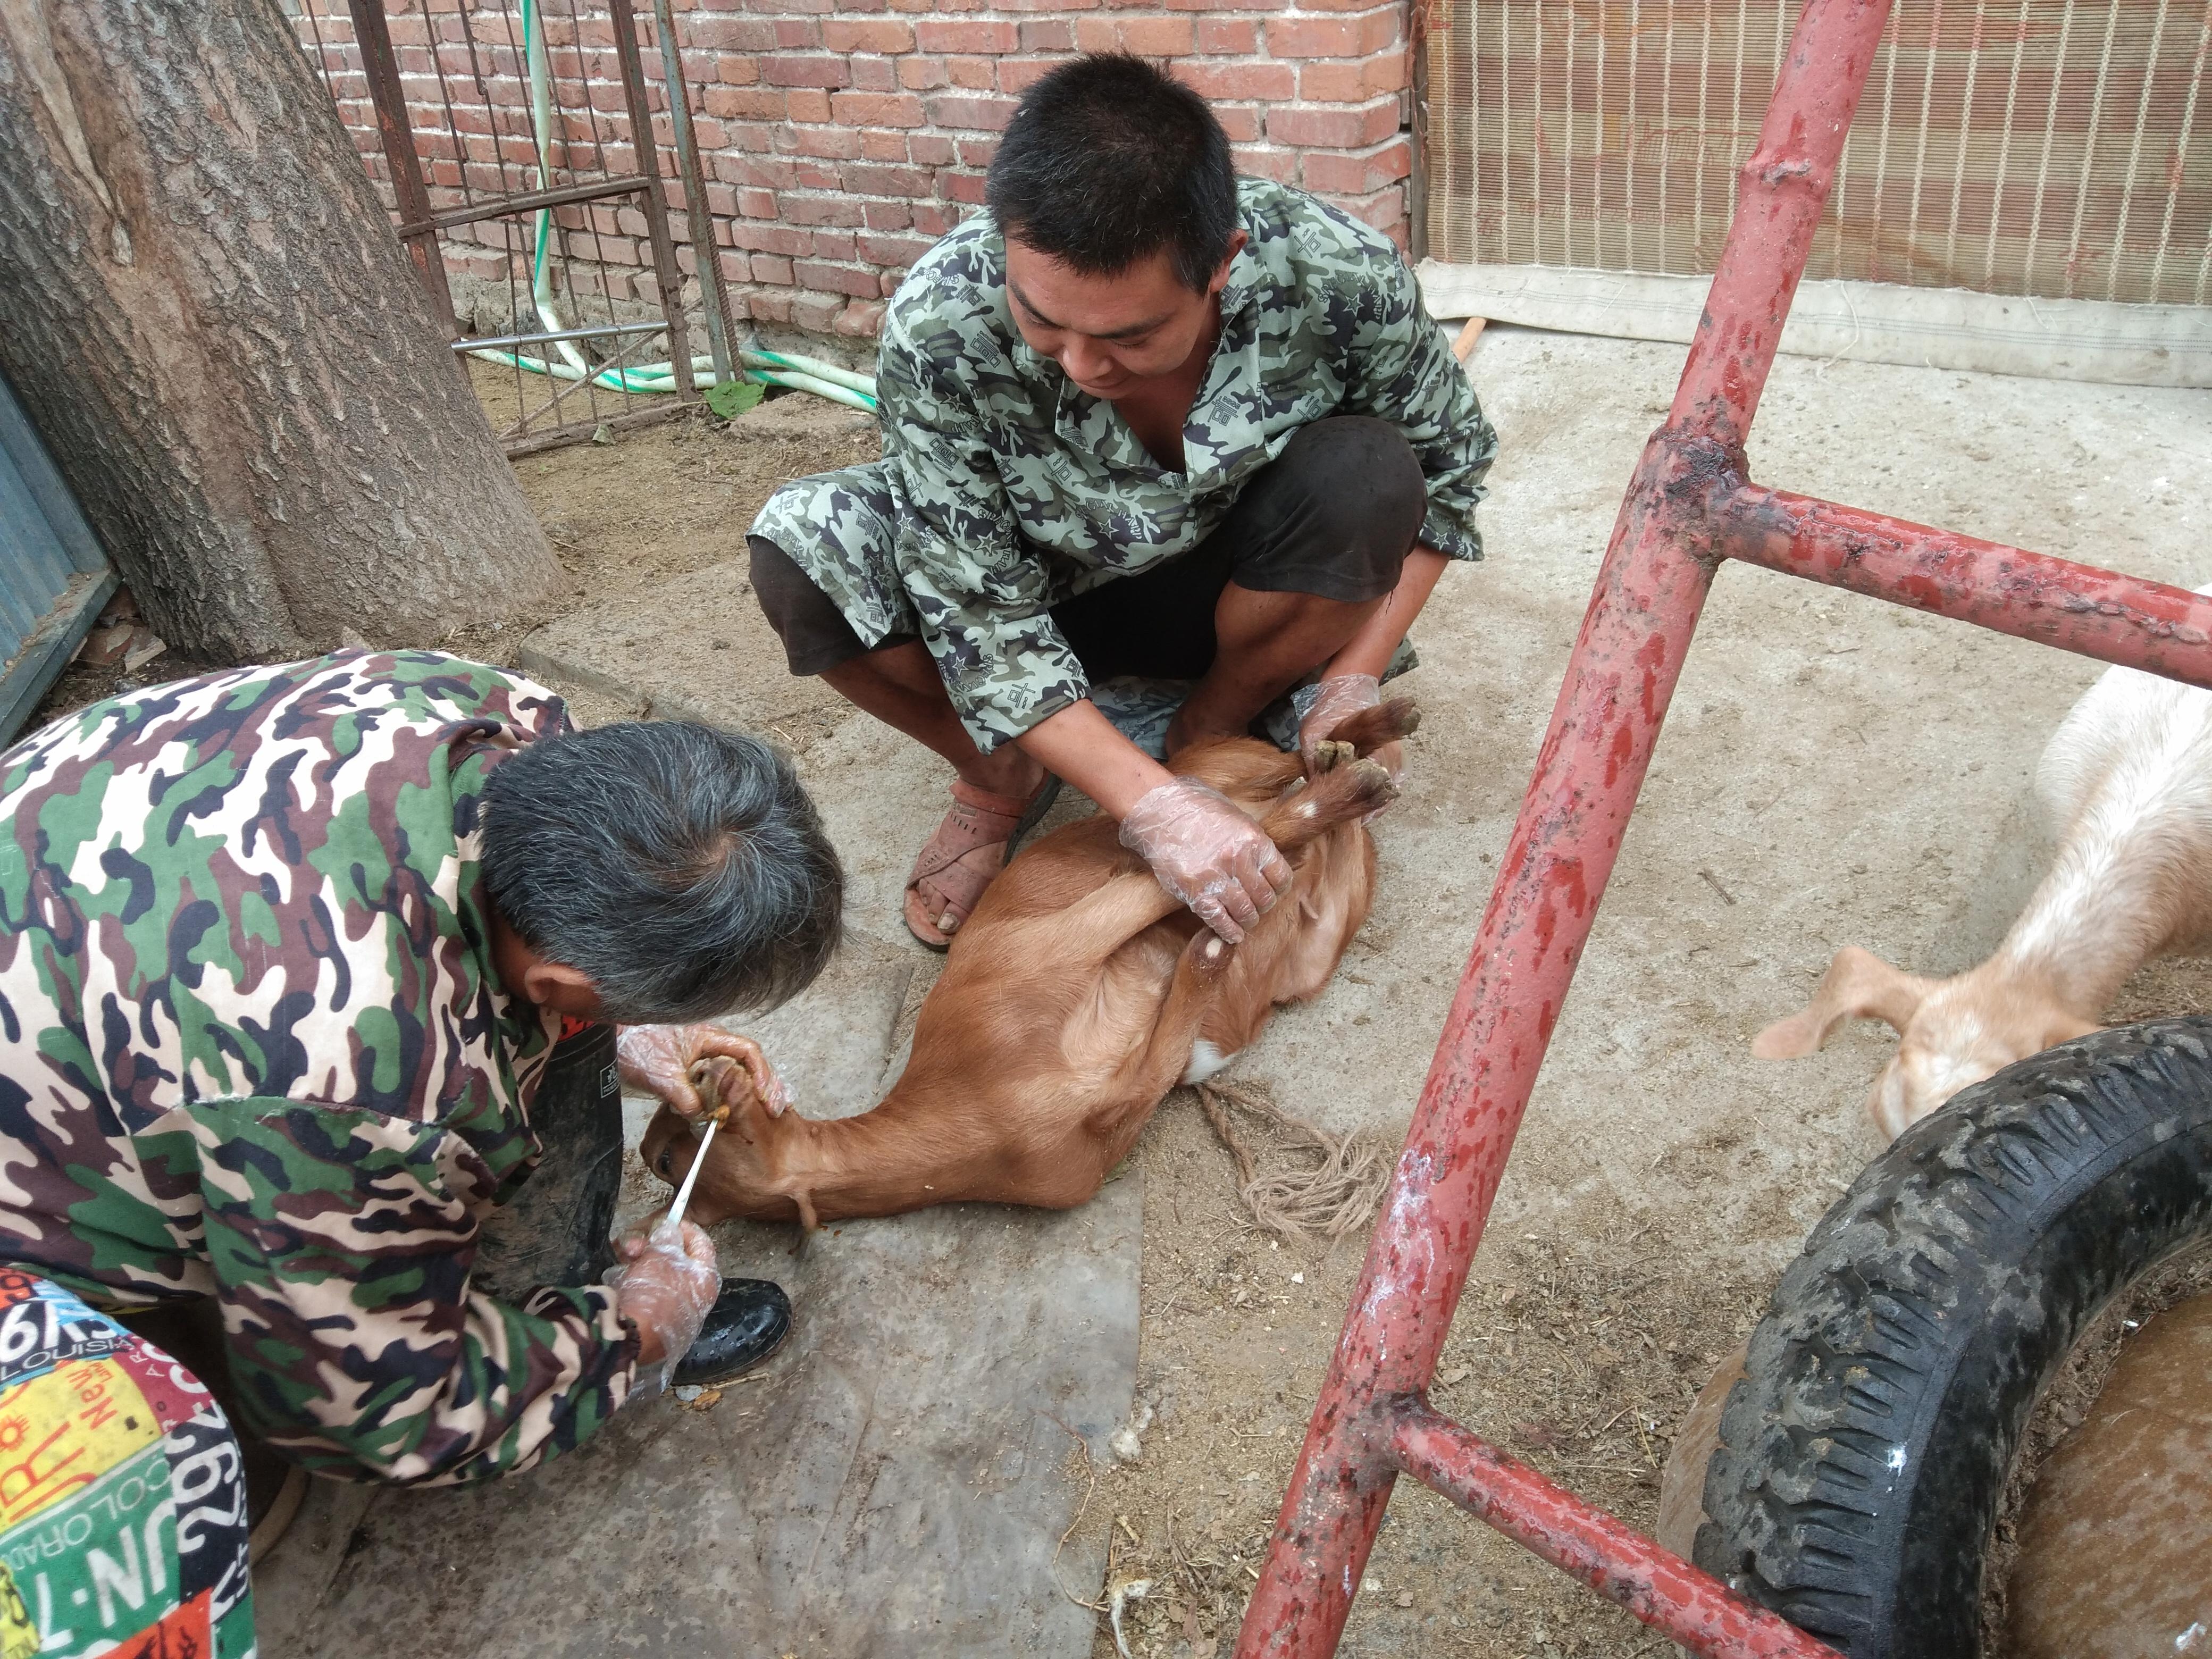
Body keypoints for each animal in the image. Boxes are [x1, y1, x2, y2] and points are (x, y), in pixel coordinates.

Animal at [641, 694, 1415, 1229]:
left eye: (662, 1154)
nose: (703, 1068)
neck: (973, 1120)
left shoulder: (1065, 940)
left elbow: (1234, 850)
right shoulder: (1132, 1102)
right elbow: (1186, 1006)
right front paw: (1209, 950)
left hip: (1201, 780)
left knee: (1278, 789)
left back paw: (1362, 739)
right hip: (1315, 943)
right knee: (1309, 820)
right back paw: (1354, 768)